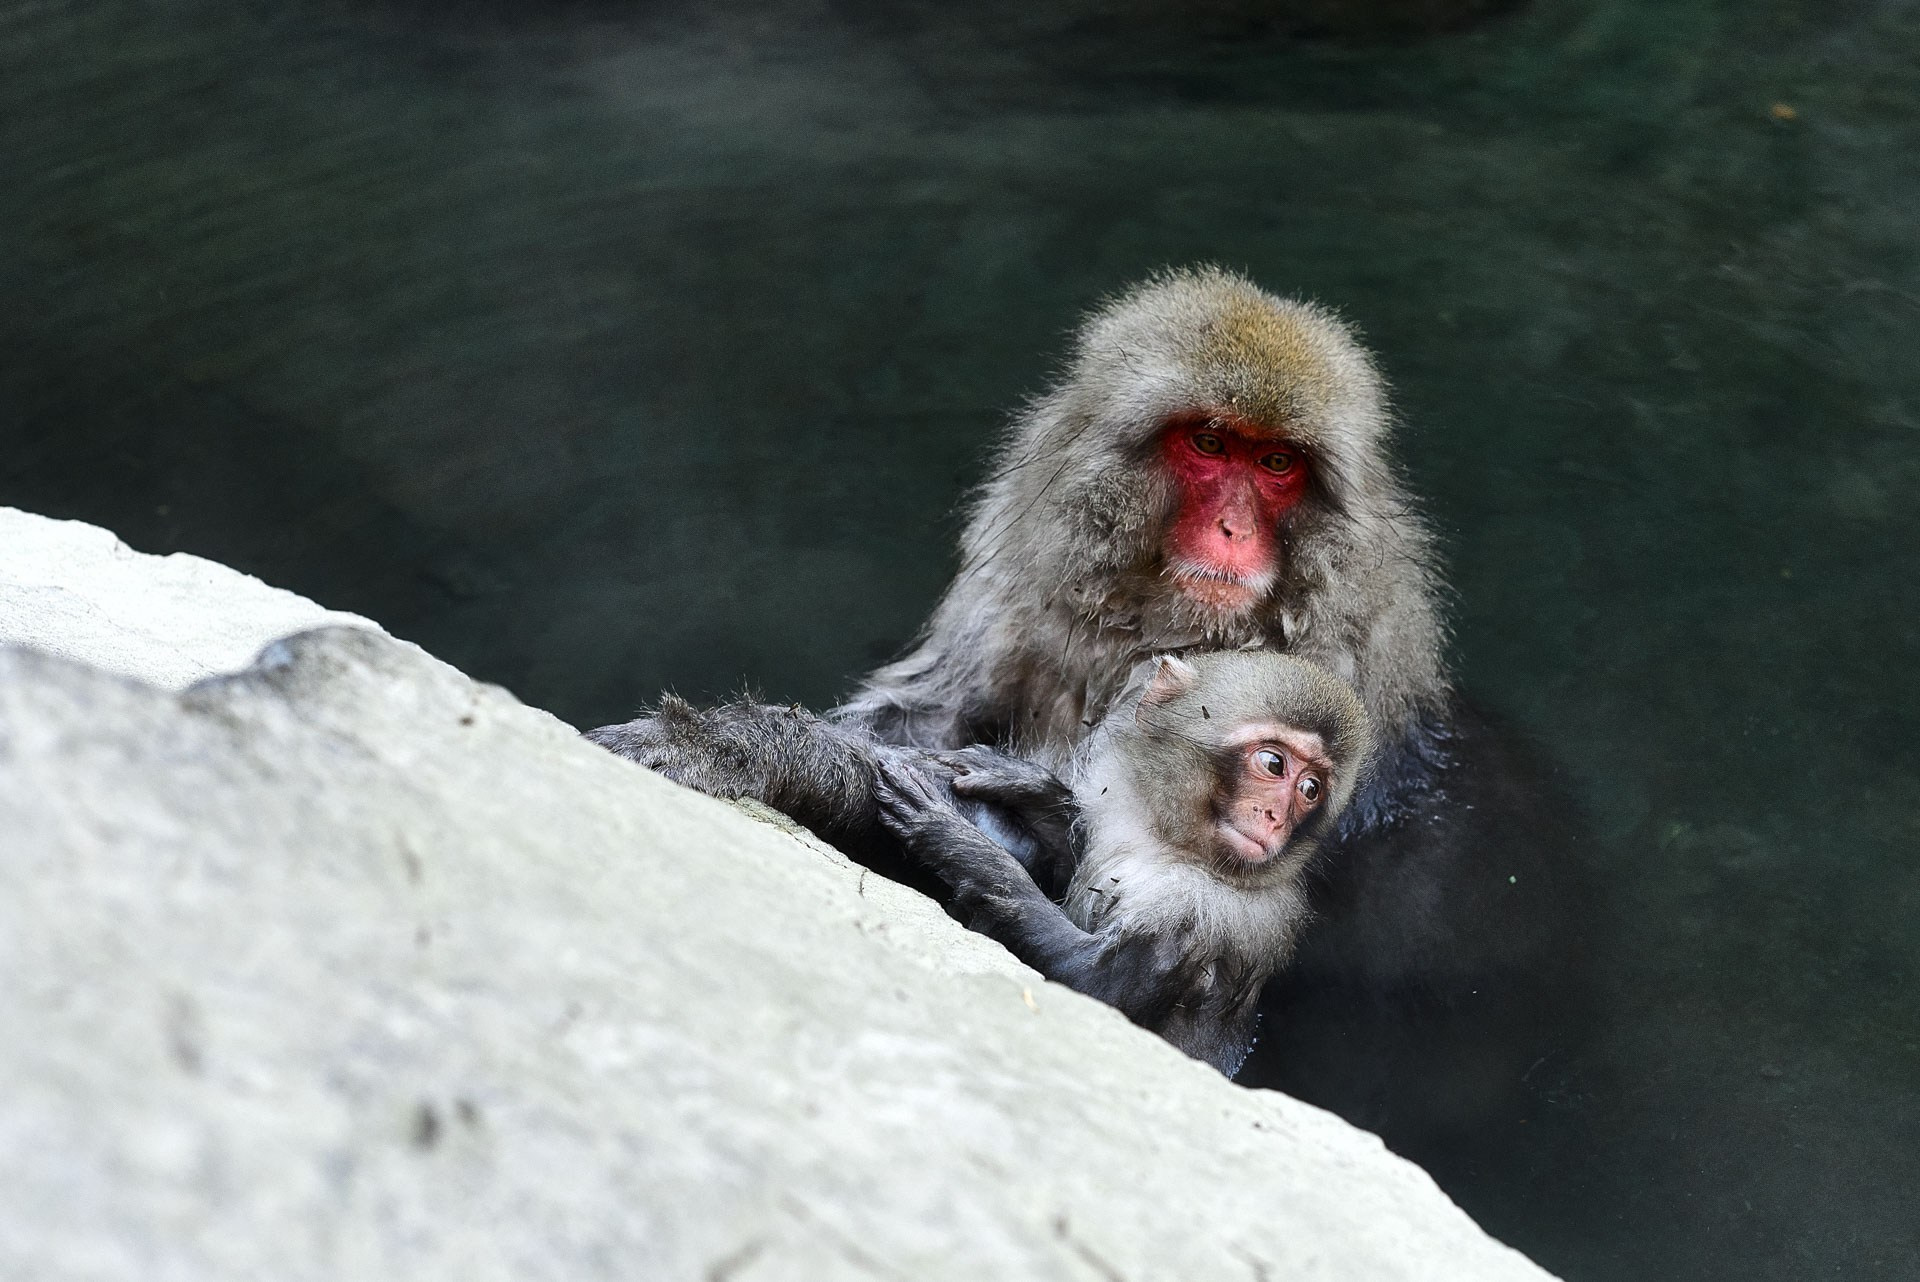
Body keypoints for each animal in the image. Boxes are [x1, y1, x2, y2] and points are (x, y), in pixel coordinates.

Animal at [871, 649, 1372, 1076]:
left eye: (1310, 789)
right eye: (1273, 764)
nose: (1276, 817)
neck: (1170, 847)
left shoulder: (1197, 909)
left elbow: (1093, 990)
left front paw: (961, 843)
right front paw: (1026, 785)